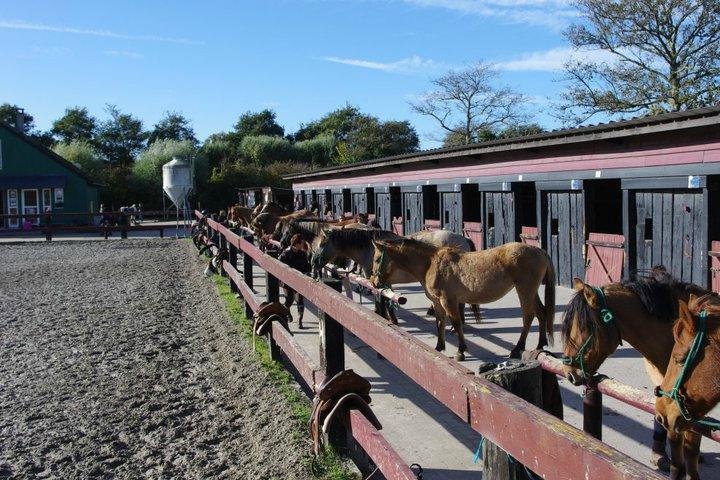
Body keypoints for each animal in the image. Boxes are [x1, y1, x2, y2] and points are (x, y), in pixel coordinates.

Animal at [312, 227, 480, 324]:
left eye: (322, 244)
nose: (313, 262)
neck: (369, 248)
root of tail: (463, 238)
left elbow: (381, 299)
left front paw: (386, 317)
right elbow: (386, 299)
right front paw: (390, 317)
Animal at [368, 240, 556, 360]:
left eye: (377, 259)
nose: (374, 282)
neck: (430, 263)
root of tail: (540, 251)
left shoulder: (448, 300)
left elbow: (456, 323)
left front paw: (461, 351)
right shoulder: (437, 303)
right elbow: (440, 323)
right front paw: (438, 348)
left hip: (524, 290)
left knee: (528, 316)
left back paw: (517, 349)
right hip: (531, 291)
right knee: (541, 313)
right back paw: (540, 345)